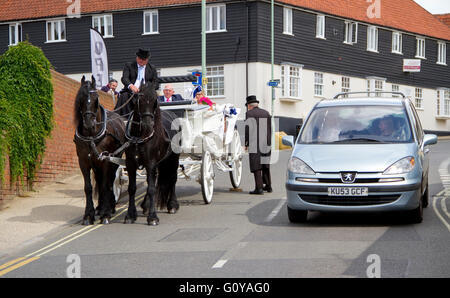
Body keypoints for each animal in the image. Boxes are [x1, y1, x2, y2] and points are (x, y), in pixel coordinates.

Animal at [74, 75, 125, 225]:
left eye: (96, 98)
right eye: (80, 98)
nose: (89, 123)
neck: (91, 136)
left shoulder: (106, 160)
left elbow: (105, 185)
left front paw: (105, 214)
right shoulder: (84, 161)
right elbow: (88, 188)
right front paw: (88, 215)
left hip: (114, 160)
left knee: (109, 181)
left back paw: (109, 208)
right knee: (100, 179)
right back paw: (100, 207)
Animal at [124, 80, 180, 225]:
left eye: (155, 100)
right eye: (140, 99)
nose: (147, 125)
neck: (139, 137)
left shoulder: (150, 163)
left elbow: (151, 189)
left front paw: (153, 217)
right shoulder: (130, 164)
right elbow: (132, 188)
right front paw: (130, 215)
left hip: (173, 159)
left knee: (172, 178)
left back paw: (172, 205)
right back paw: (146, 205)